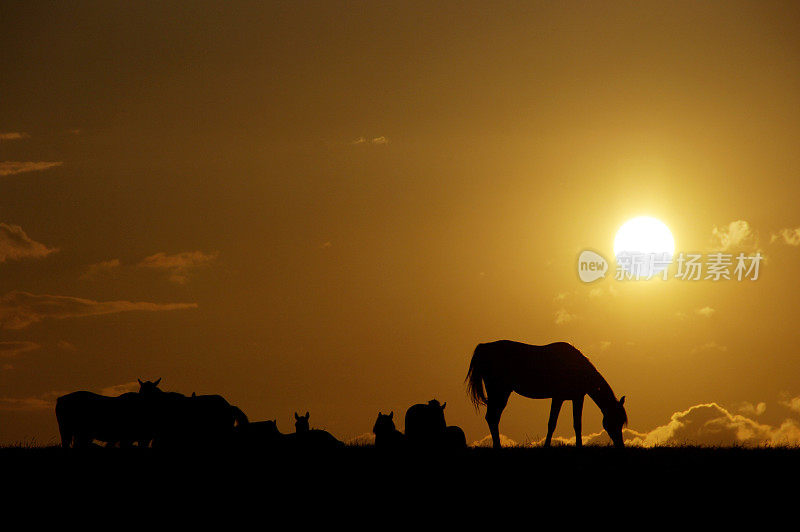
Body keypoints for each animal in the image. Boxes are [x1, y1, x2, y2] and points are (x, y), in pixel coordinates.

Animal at [466, 340, 628, 448]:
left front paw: (579, 446)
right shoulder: (558, 397)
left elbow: (577, 424)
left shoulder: (577, 398)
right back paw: (497, 446)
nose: (620, 445)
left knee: (493, 417)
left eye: (622, 421)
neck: (576, 368)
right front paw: (546, 446)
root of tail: (484, 347)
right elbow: (552, 423)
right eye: (614, 420)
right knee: (492, 417)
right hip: (499, 390)